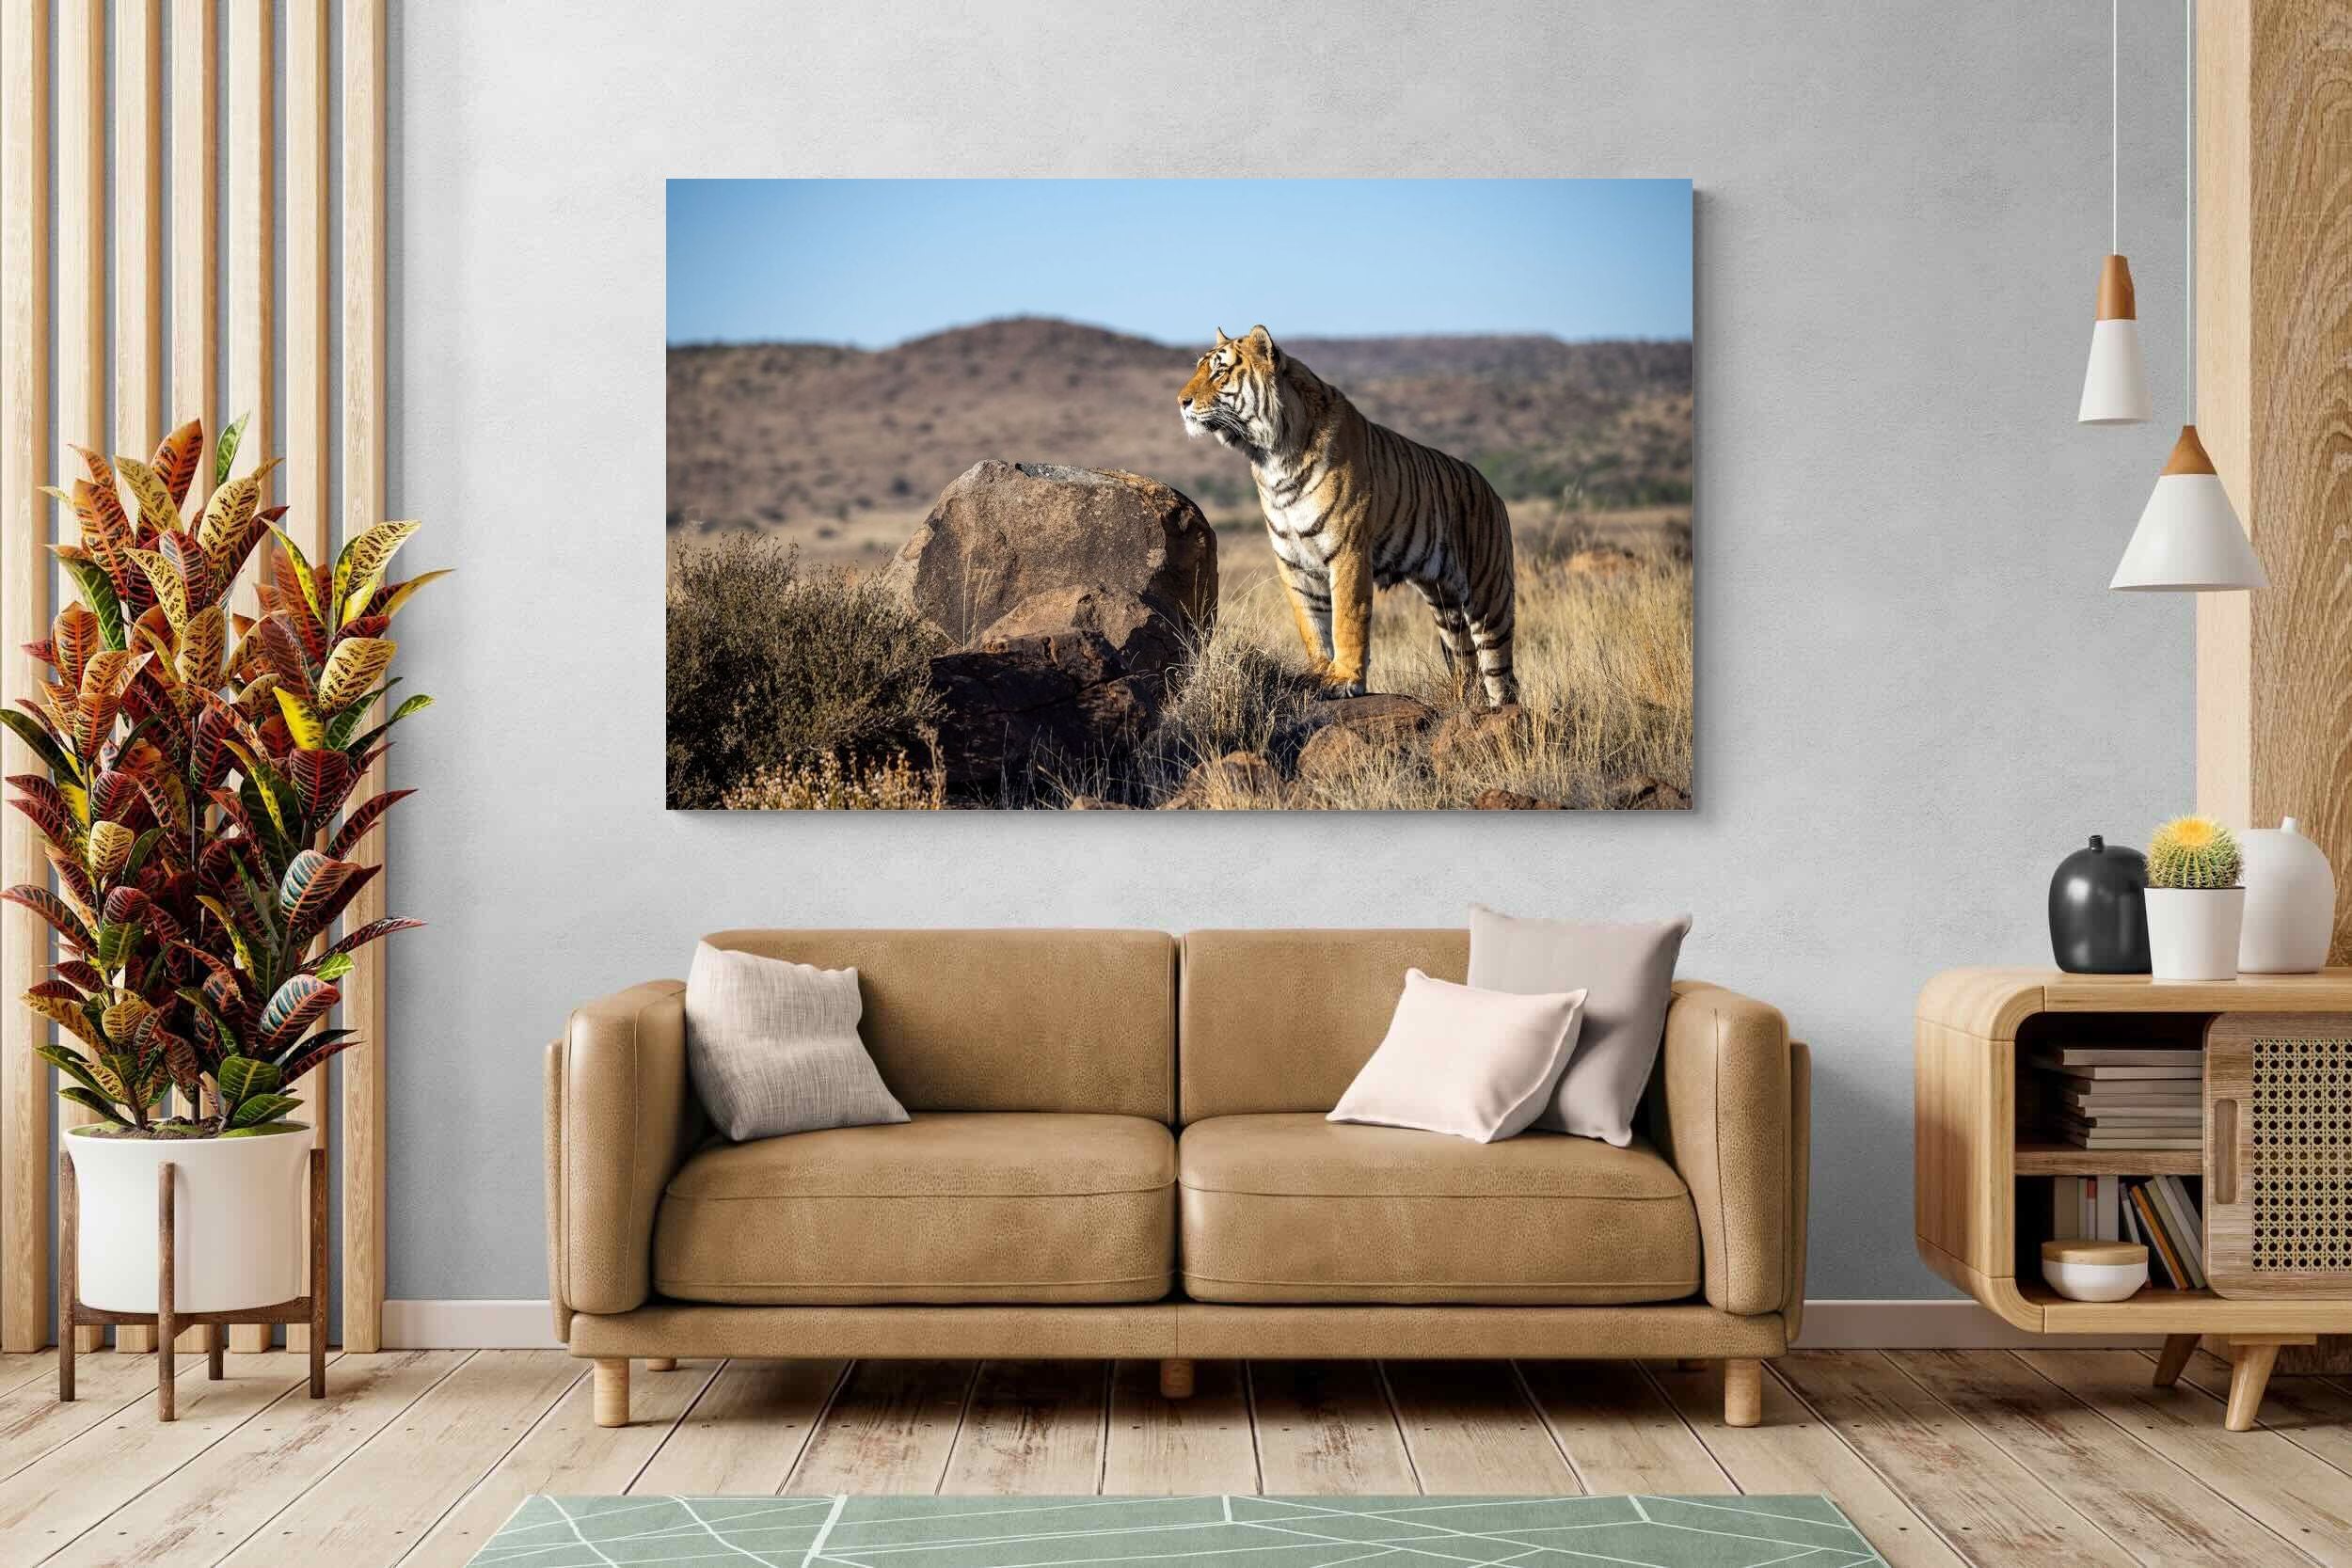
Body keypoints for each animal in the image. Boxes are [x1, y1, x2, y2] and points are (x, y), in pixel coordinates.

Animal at [1179, 325, 1519, 708]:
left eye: (1219, 371)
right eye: (1199, 368)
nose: (1181, 402)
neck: (1271, 458)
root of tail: (1492, 489)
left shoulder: (1348, 550)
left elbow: (1347, 618)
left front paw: (1345, 679)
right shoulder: (1292, 560)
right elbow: (1311, 624)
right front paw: (1317, 673)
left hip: (1488, 595)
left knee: (1501, 672)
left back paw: (1503, 711)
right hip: (1445, 607)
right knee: (1466, 664)